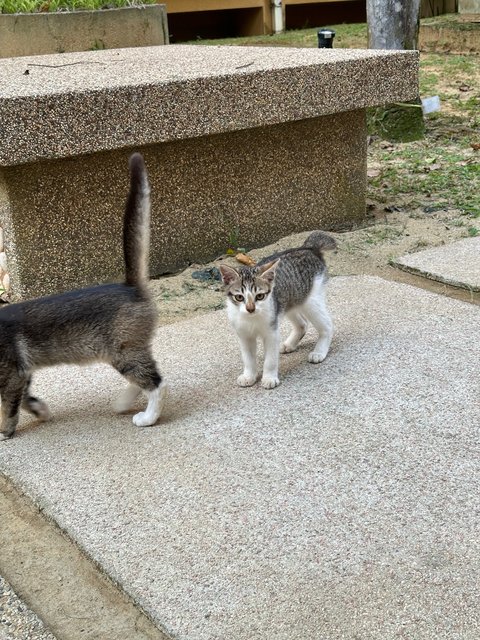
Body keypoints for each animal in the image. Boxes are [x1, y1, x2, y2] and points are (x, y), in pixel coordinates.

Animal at [0, 154, 167, 440]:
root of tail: (130, 286)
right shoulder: (22, 373)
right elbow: (24, 399)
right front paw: (41, 410)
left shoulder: (11, 375)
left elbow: (9, 407)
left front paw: (4, 432)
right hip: (125, 352)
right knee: (143, 378)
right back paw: (123, 403)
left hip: (124, 352)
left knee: (155, 382)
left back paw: (147, 417)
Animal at [219, 231, 336, 388]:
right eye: (239, 297)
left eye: (260, 296)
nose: (250, 308)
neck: (251, 319)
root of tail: (309, 248)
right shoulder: (244, 335)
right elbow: (248, 358)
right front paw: (249, 375)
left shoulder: (271, 332)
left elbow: (270, 360)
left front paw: (269, 377)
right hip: (287, 301)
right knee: (302, 324)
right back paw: (290, 344)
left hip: (310, 301)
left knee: (327, 325)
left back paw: (319, 352)